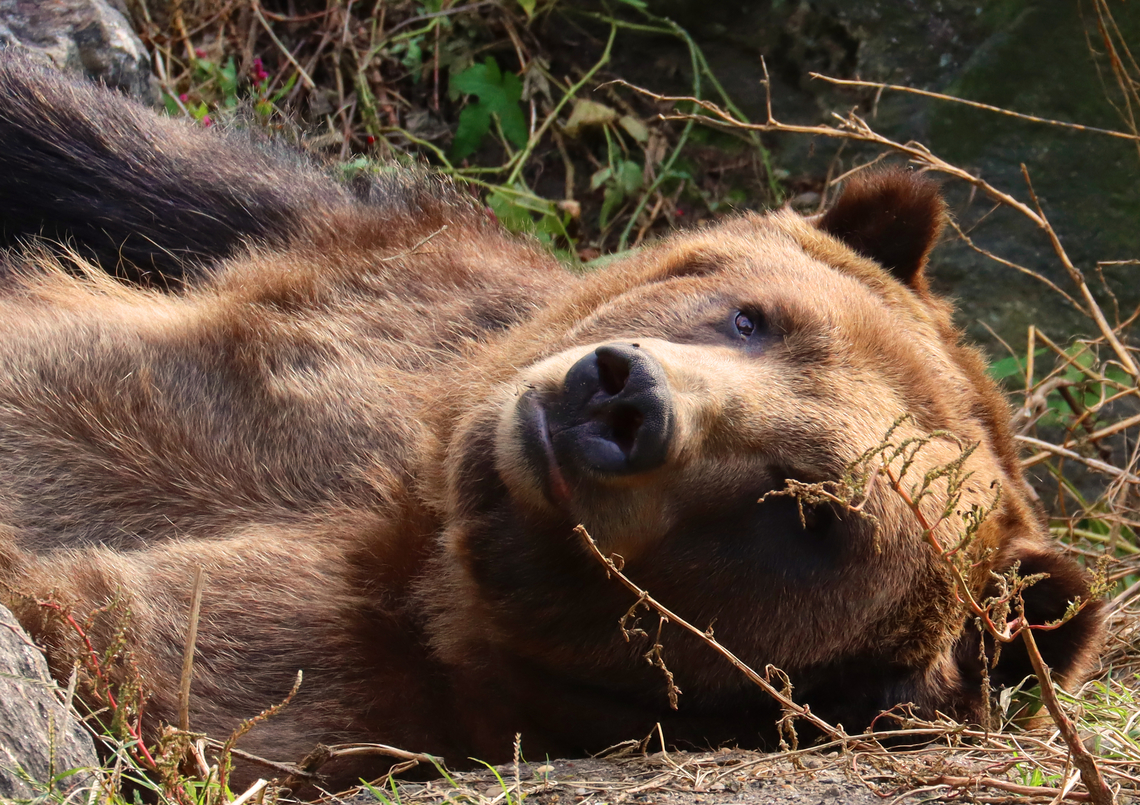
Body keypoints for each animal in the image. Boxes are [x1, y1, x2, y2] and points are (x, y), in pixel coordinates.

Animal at [0, 52, 1107, 794]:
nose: (622, 399)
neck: (433, 529)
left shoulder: (311, 691)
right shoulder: (375, 267)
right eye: (754, 317)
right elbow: (97, 150)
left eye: (807, 507)